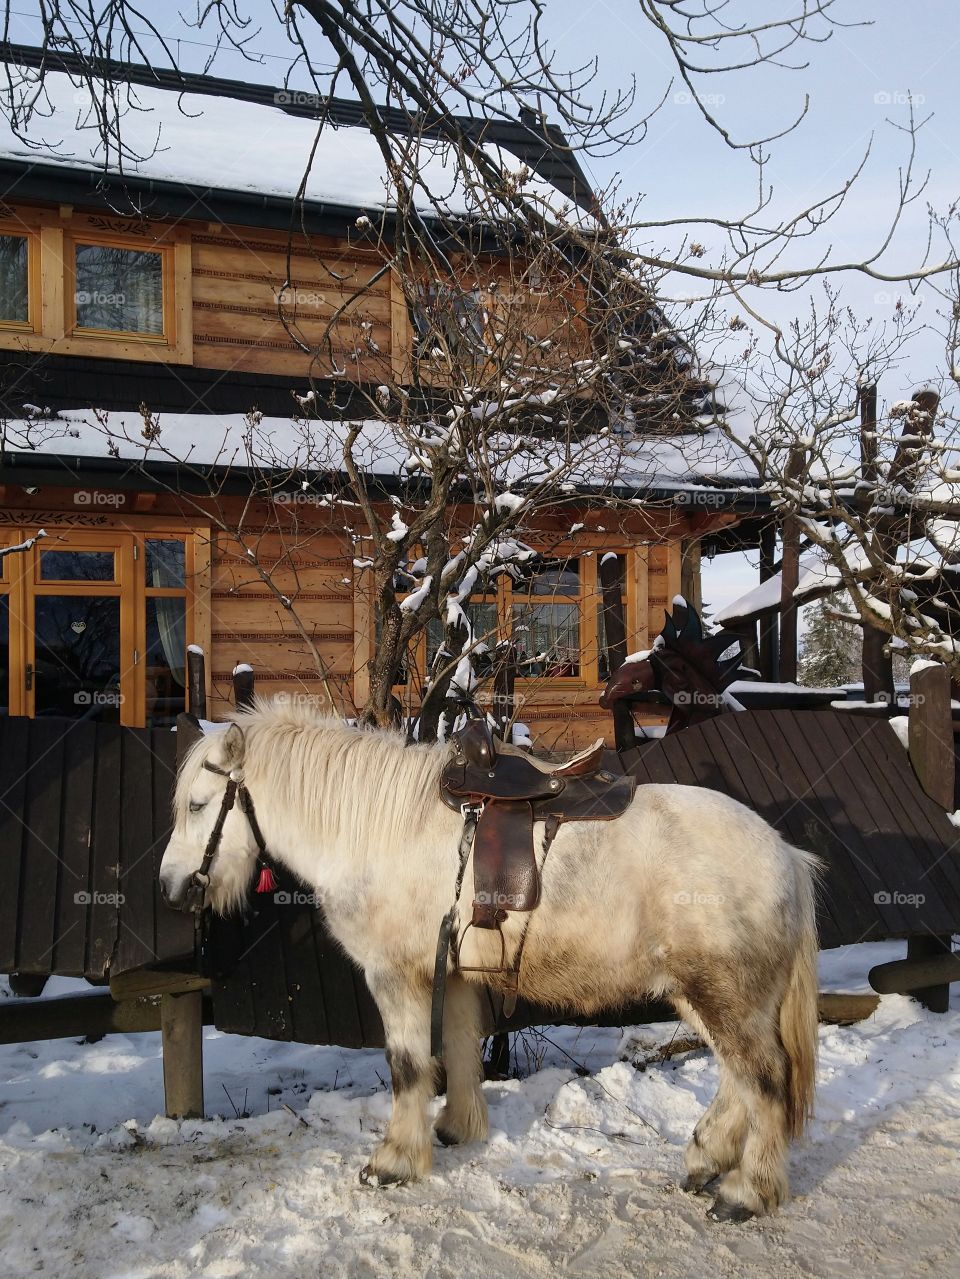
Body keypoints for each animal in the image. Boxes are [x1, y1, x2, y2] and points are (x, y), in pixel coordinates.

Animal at [157, 706, 818, 1222]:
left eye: (198, 805)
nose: (171, 889)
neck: (376, 830)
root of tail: (784, 852)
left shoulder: (395, 976)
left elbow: (407, 1066)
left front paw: (394, 1160)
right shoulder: (449, 974)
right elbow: (457, 1048)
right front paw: (456, 1130)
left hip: (722, 993)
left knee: (764, 1077)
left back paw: (747, 1192)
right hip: (705, 993)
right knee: (739, 1076)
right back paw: (707, 1156)